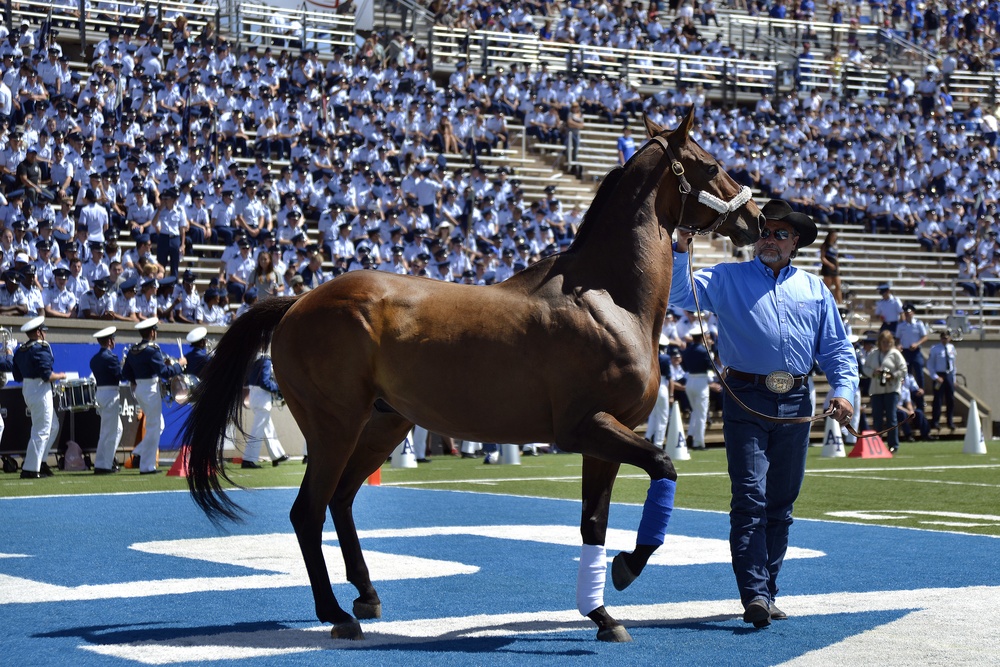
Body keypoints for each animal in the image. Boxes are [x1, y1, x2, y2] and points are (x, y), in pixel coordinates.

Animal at [184, 109, 760, 640]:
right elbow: (663, 465)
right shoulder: (585, 428)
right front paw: (627, 567)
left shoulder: (607, 435)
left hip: (383, 423)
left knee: (341, 499)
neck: (606, 298)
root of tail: (298, 302)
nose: (755, 216)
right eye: (712, 165)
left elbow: (593, 523)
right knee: (308, 510)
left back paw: (366, 593)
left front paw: (601, 614)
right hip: (334, 426)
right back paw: (336, 614)